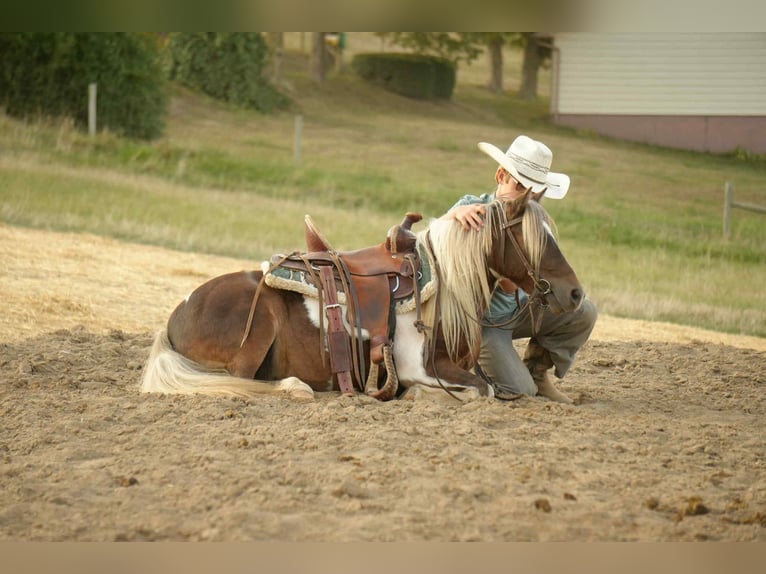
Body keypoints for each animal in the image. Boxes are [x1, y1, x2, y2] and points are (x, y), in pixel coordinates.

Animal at [140, 190, 584, 402]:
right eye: (536, 239)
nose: (575, 293)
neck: (439, 289)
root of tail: (176, 316)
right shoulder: (418, 366)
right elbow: (482, 390)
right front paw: (418, 395)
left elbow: (486, 386)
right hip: (257, 332)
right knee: (241, 381)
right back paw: (297, 387)